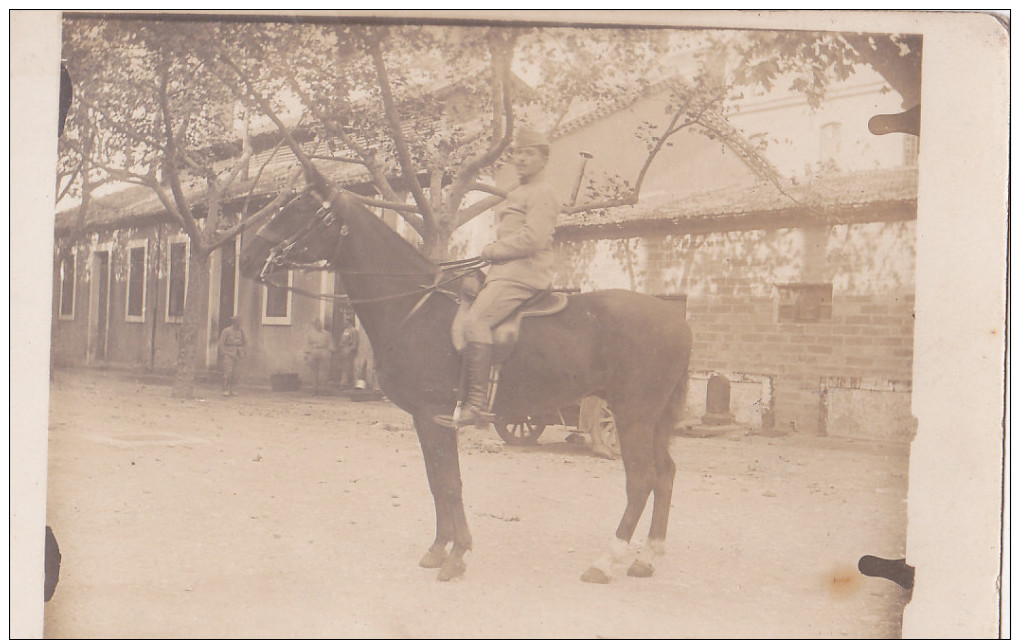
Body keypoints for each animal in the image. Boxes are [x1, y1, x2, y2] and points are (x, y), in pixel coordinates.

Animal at [238, 188, 693, 579]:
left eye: (299, 211)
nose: (247, 257)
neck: (415, 304)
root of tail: (675, 317)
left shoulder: (434, 416)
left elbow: (449, 483)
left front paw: (455, 555)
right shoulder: (427, 420)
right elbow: (438, 482)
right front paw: (440, 548)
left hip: (632, 417)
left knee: (641, 480)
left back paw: (606, 561)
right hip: (653, 420)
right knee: (666, 474)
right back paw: (647, 558)